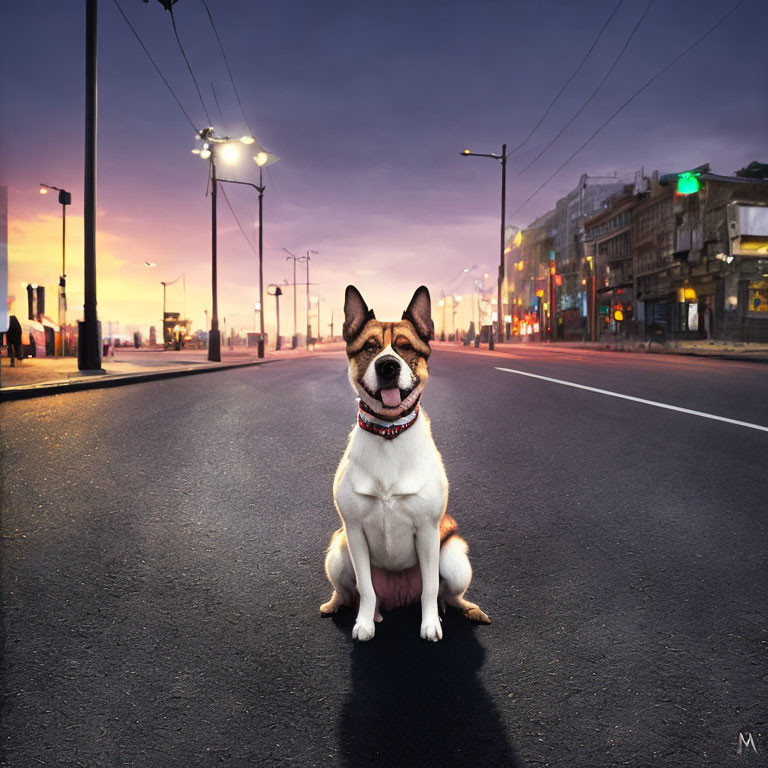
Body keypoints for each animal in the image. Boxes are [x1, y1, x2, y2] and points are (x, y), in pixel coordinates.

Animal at [320, 284, 492, 640]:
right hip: (338, 550)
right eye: (370, 347)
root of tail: (398, 598)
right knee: (350, 592)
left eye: (405, 347)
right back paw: (345, 608)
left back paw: (468, 610)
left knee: (448, 595)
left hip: (454, 556)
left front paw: (429, 625)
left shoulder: (427, 532)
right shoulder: (354, 531)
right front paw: (363, 623)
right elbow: (366, 588)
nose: (388, 365)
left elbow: (429, 588)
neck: (389, 433)